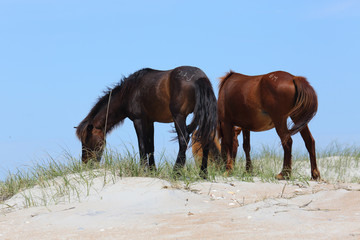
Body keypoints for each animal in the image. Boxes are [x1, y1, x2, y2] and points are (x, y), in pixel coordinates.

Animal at [75, 65, 217, 176]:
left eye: (86, 141)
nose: (86, 164)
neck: (128, 92)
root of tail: (200, 78)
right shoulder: (150, 121)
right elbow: (150, 146)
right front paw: (152, 170)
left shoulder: (138, 120)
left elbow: (142, 145)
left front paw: (143, 170)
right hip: (201, 117)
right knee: (206, 140)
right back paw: (203, 174)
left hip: (179, 117)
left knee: (183, 140)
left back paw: (176, 172)